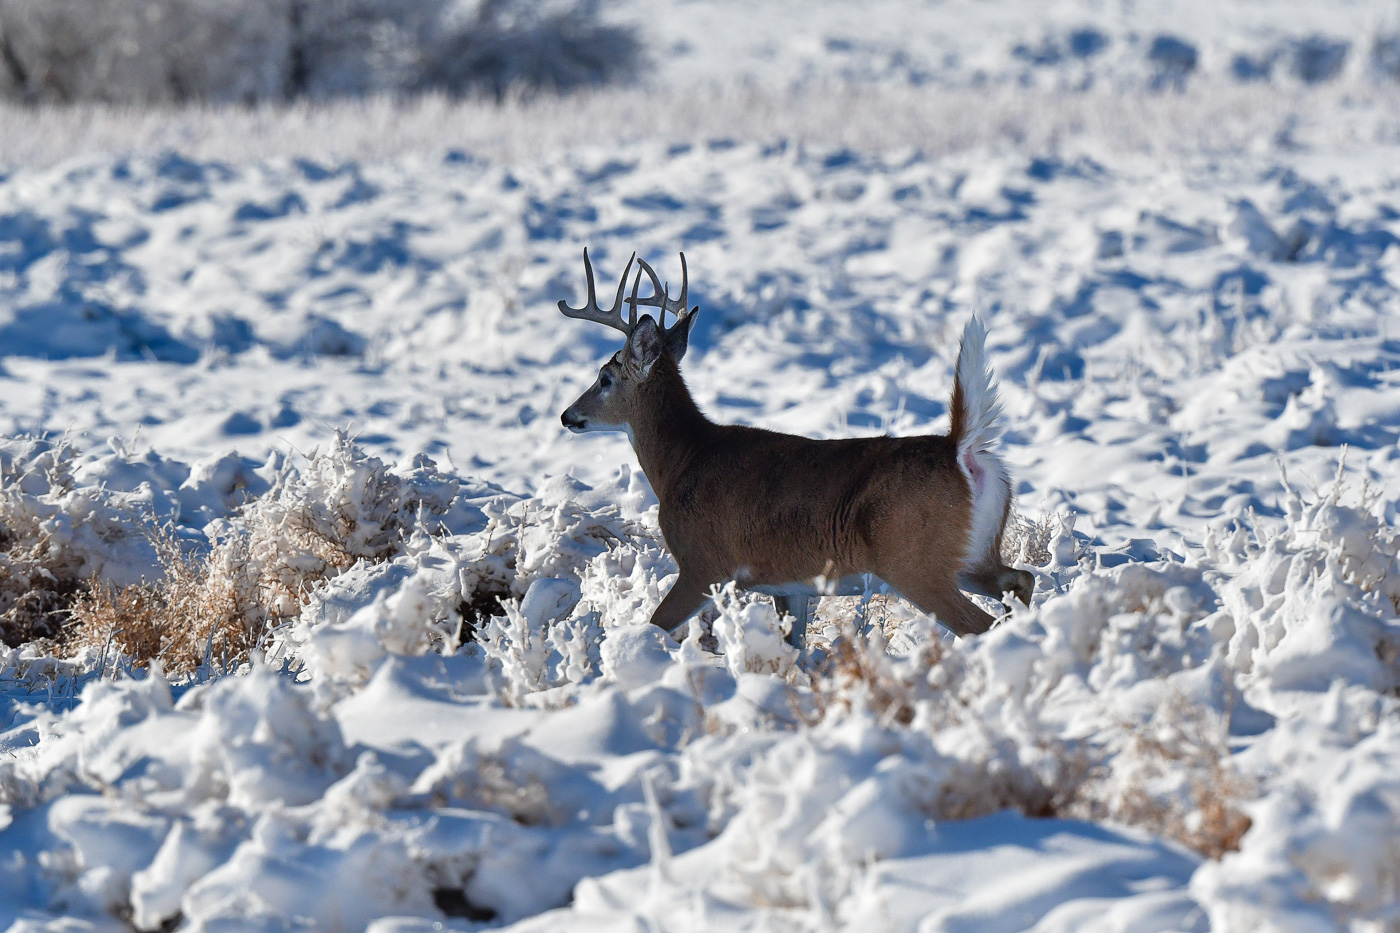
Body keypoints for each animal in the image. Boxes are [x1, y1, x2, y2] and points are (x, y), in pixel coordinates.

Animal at [554, 245, 1030, 647]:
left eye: (604, 378)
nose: (567, 415)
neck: (682, 462)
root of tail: (960, 451)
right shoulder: (790, 587)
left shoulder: (704, 564)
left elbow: (654, 625)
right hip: (973, 556)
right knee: (1021, 581)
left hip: (915, 564)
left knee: (983, 624)